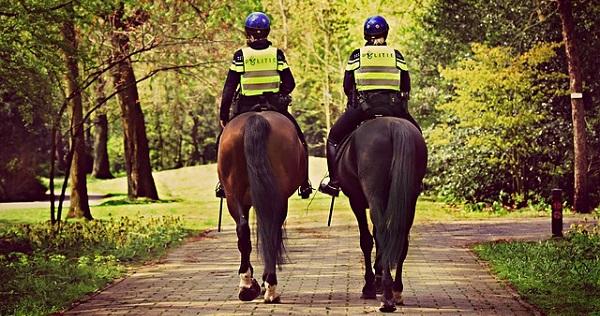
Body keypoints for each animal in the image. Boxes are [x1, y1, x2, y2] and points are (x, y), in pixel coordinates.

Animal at [218, 110, 308, 302]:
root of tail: (255, 118)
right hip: (276, 198)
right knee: (270, 232)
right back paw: (269, 287)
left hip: (233, 196)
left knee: (243, 230)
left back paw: (247, 285)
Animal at [338, 116, 426, 312]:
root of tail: (395, 126)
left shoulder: (355, 201)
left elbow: (367, 240)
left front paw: (370, 286)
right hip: (410, 199)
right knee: (400, 237)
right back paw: (396, 291)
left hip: (374, 195)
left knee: (384, 235)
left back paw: (386, 298)